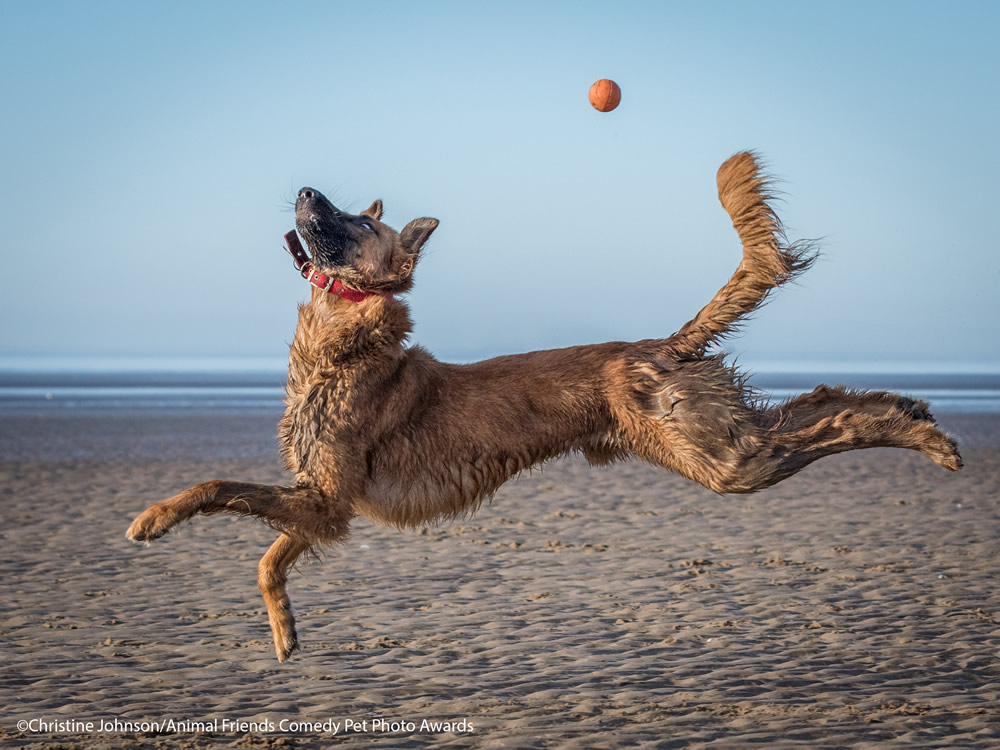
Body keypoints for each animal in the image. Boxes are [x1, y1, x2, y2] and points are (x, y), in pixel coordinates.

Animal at [127, 154, 960, 664]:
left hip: (719, 458)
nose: (303, 187)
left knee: (829, 422)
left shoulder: (327, 498)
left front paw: (154, 518)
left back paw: (927, 438)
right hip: (716, 441)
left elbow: (215, 488)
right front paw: (285, 635)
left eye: (360, 222)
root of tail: (664, 343)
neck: (345, 341)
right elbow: (269, 559)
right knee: (821, 402)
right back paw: (913, 408)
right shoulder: (324, 506)